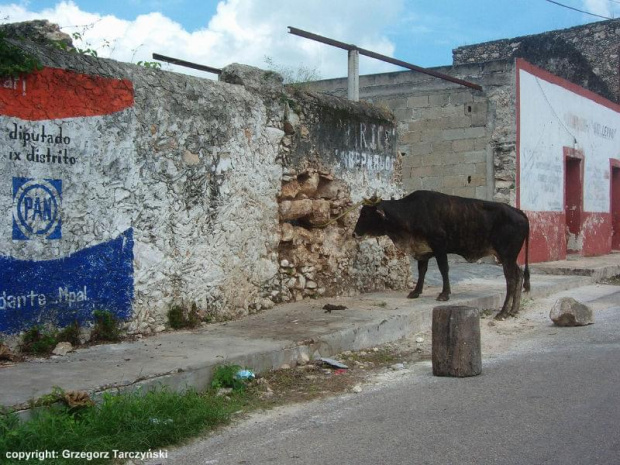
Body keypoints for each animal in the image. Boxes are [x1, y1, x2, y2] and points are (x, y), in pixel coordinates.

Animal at [352, 191, 532, 320]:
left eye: (366, 214)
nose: (354, 234)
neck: (411, 212)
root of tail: (519, 212)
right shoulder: (424, 251)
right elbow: (422, 271)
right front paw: (416, 292)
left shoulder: (439, 246)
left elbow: (443, 269)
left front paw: (444, 294)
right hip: (508, 257)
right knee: (519, 274)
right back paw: (514, 310)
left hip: (506, 255)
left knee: (511, 279)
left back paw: (503, 312)